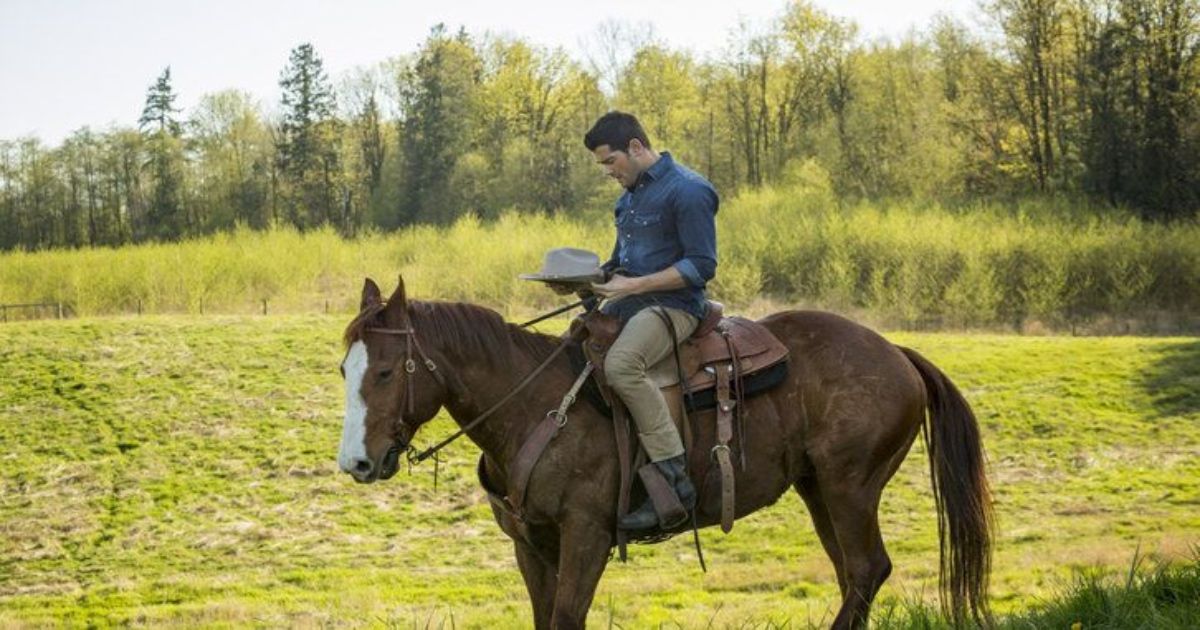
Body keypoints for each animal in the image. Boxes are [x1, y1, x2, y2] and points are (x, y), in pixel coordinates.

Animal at [338, 277, 993, 624]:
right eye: (346, 368)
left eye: (389, 371)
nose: (356, 463)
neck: (535, 406)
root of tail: (896, 353)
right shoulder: (531, 544)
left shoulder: (587, 536)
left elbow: (567, 617)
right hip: (819, 490)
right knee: (853, 574)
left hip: (849, 486)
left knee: (865, 569)